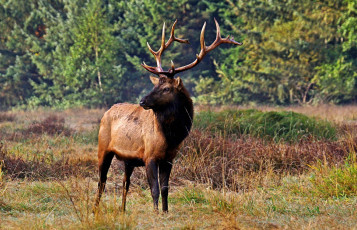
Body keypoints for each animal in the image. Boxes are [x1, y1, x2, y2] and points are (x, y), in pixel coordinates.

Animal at [93, 18, 241, 213]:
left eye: (166, 88)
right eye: (156, 85)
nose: (142, 101)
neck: (171, 136)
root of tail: (106, 112)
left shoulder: (169, 158)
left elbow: (165, 188)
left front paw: (165, 211)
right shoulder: (150, 156)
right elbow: (154, 188)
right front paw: (156, 212)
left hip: (128, 160)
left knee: (125, 182)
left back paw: (123, 210)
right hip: (103, 148)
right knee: (101, 181)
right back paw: (94, 209)